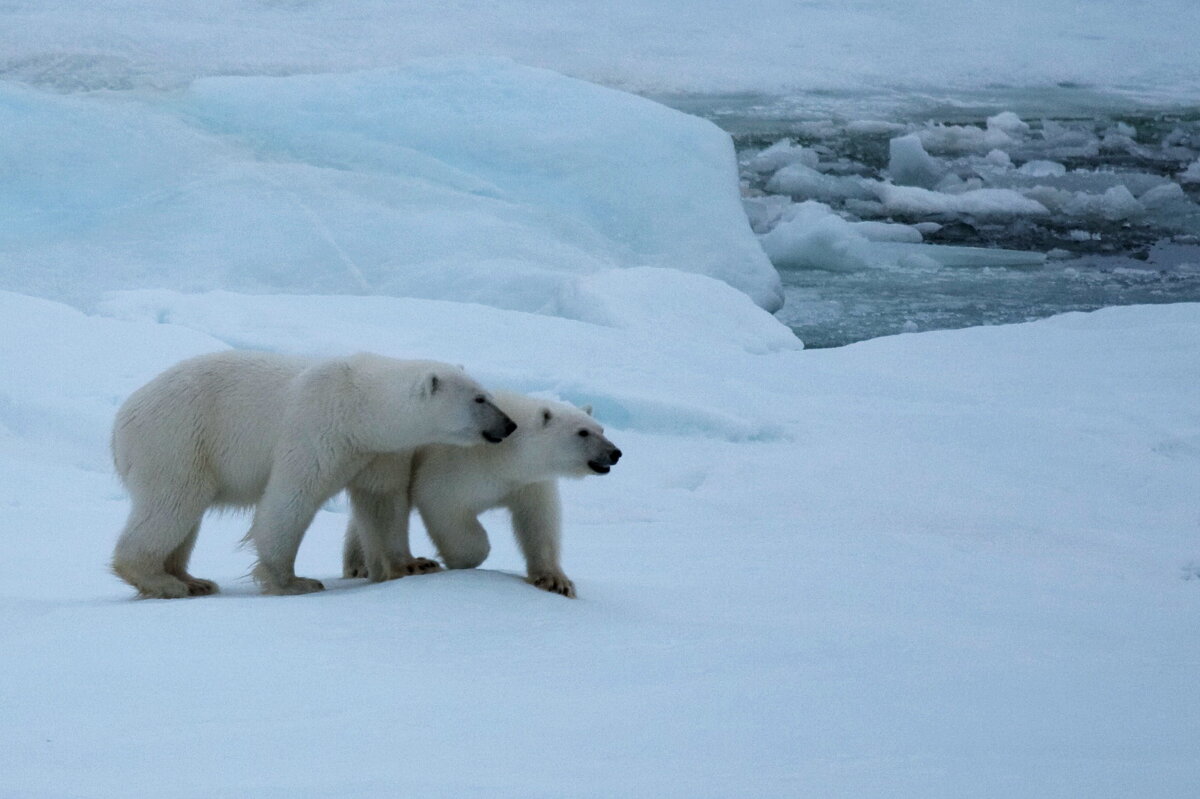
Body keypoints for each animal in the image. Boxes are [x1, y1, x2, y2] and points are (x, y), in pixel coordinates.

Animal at [106, 350, 511, 597]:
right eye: (480, 399)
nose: (510, 425)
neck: (359, 406)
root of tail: (123, 417)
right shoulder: (317, 430)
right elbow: (290, 500)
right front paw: (293, 582)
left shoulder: (379, 451)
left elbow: (382, 501)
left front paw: (416, 565)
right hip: (178, 439)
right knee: (172, 505)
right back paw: (162, 581)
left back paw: (193, 580)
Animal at [340, 388, 614, 595]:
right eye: (582, 432)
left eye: (601, 429)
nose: (615, 453)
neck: (505, 454)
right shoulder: (457, 465)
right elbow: (443, 504)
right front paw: (458, 561)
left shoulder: (528, 483)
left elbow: (538, 521)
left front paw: (555, 581)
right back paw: (361, 566)